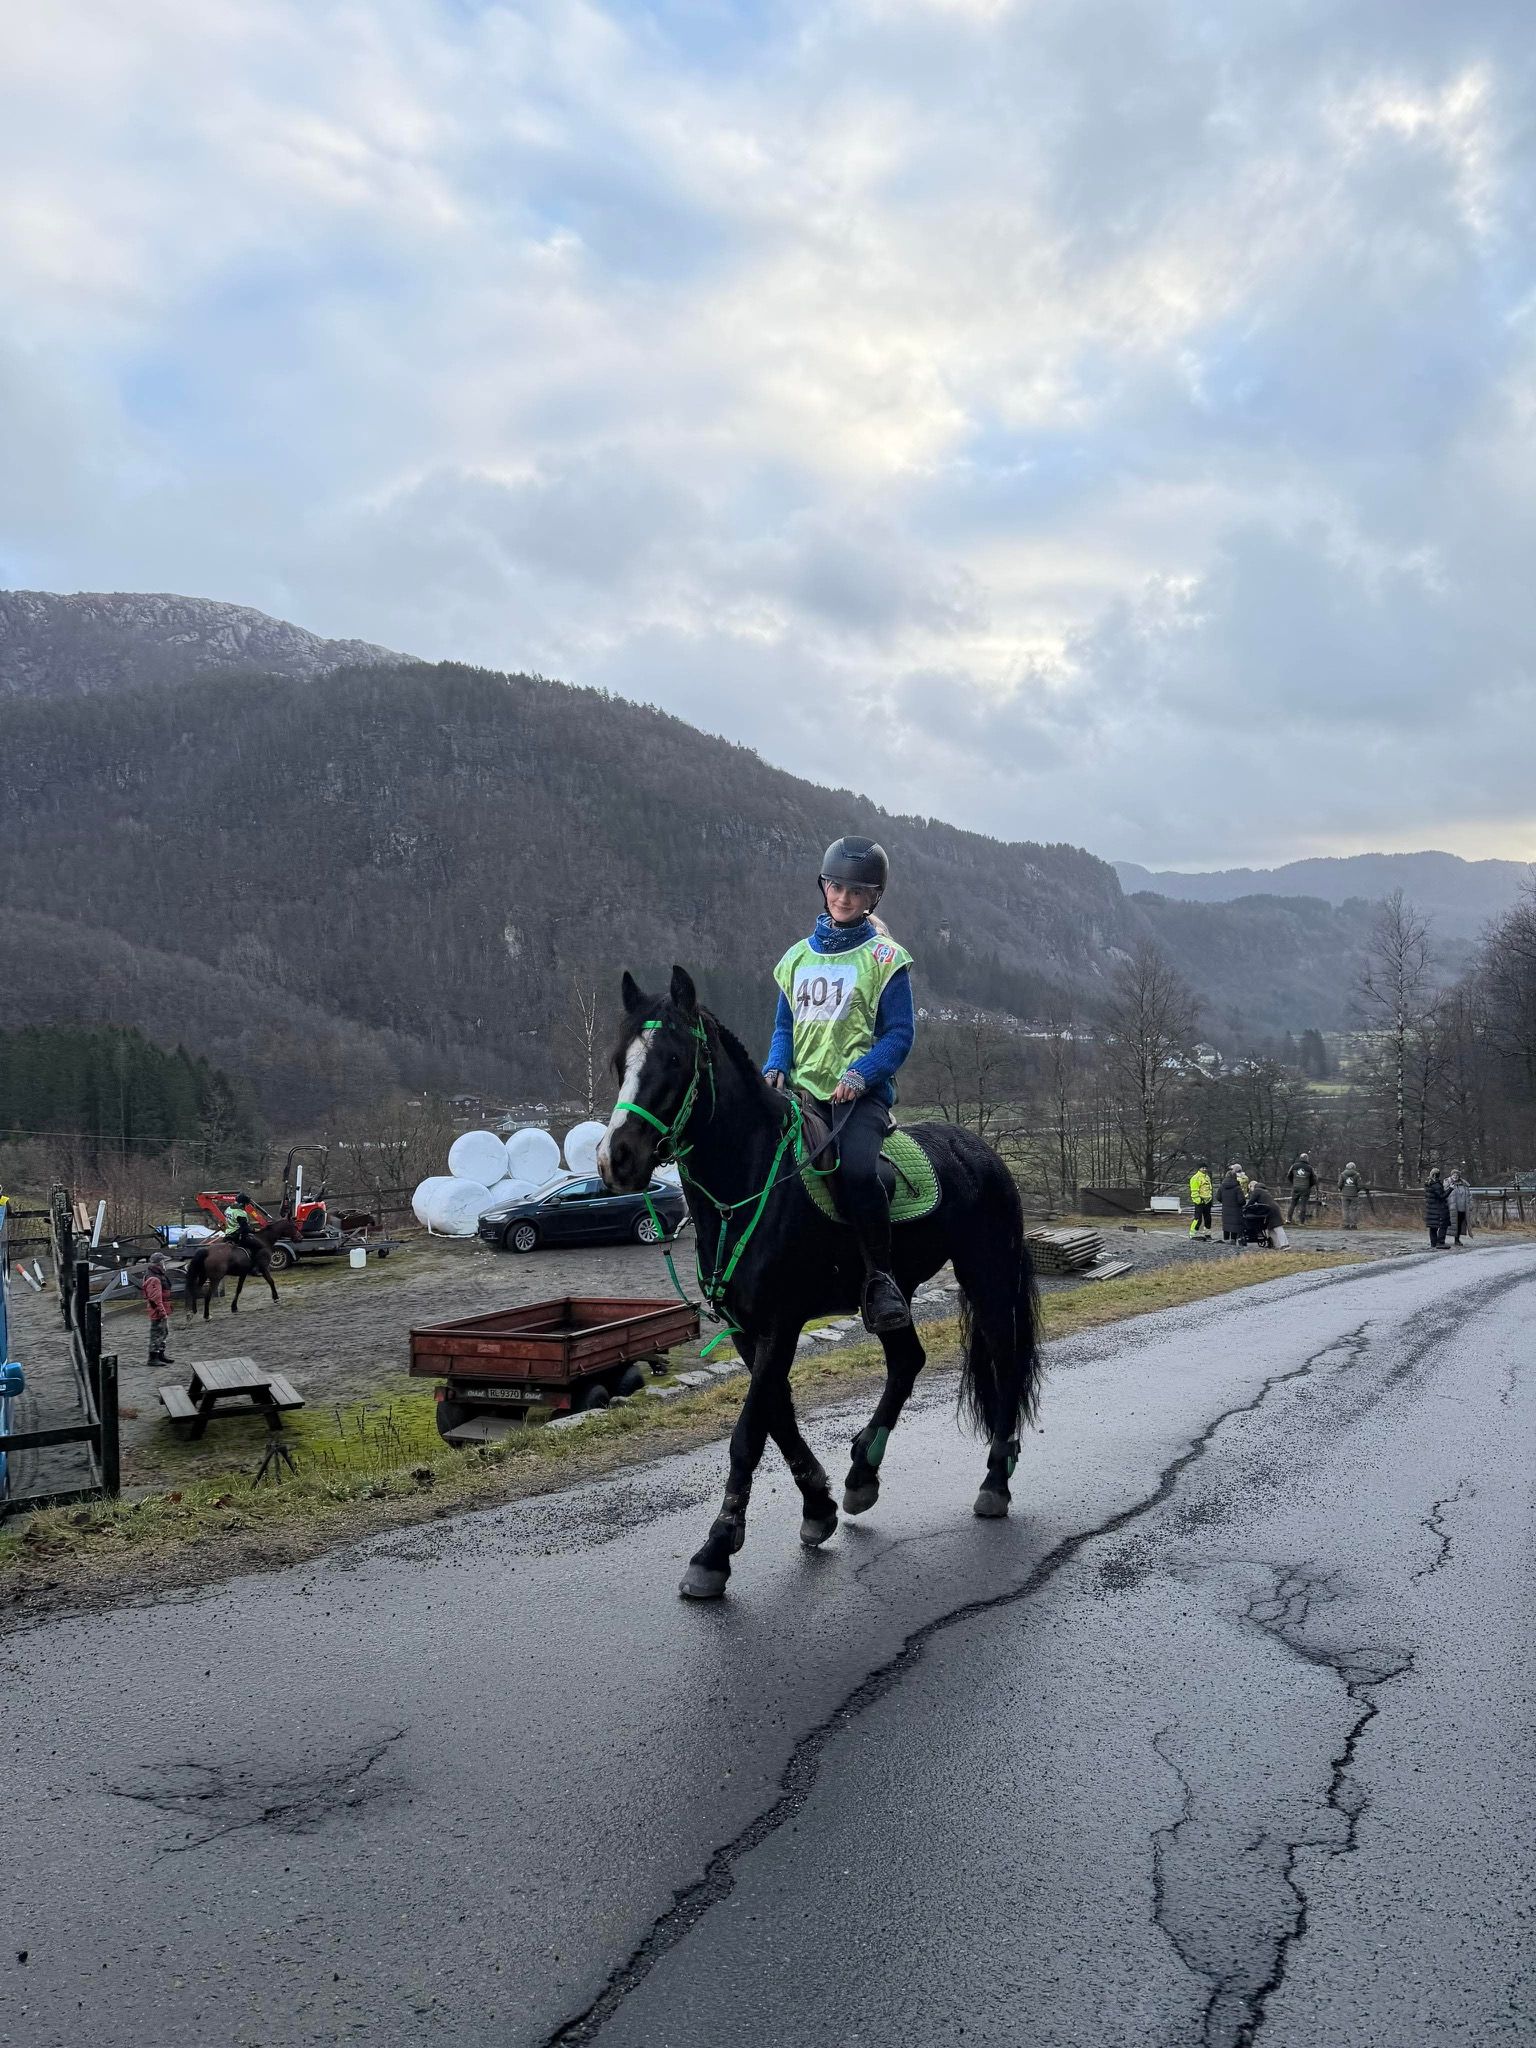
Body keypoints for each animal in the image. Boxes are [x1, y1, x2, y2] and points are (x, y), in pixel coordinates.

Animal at [598, 966, 1042, 1600]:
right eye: (619, 1061)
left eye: (677, 1059)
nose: (618, 1158)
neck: (749, 1182)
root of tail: (983, 1152)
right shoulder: (747, 1328)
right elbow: (777, 1417)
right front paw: (819, 1506)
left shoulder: (780, 1322)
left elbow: (749, 1432)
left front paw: (715, 1550)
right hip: (892, 1294)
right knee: (906, 1360)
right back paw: (862, 1474)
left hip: (987, 1276)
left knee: (1003, 1362)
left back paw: (995, 1482)